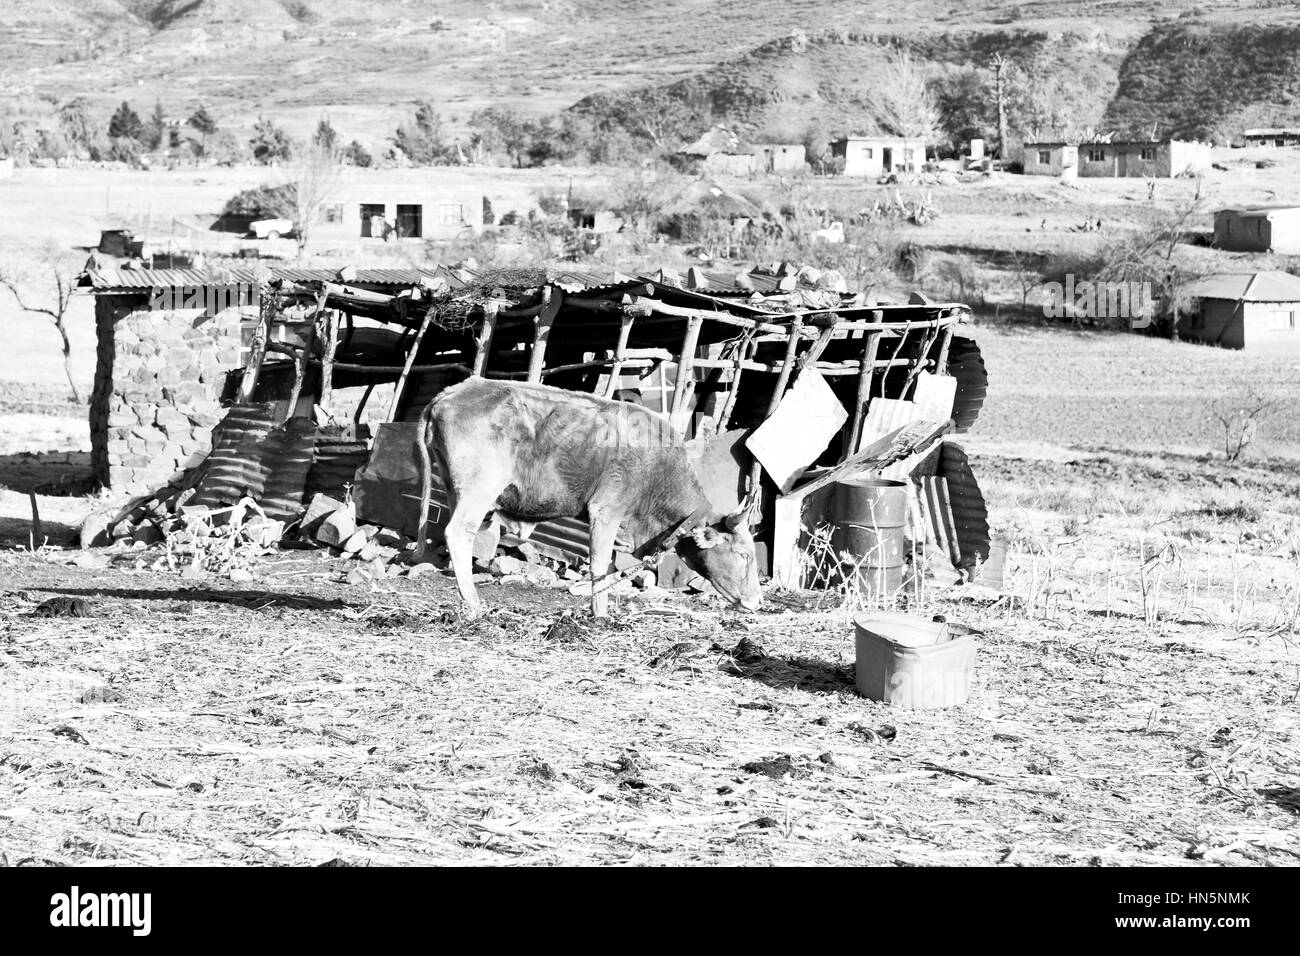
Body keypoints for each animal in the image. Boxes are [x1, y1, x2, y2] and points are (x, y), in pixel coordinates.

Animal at [416, 377, 759, 616]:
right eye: (745, 555)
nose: (756, 601)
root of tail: (451, 393)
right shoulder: (606, 510)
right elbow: (599, 566)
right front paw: (600, 616)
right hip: (480, 489)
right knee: (458, 533)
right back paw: (475, 607)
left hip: (454, 489)